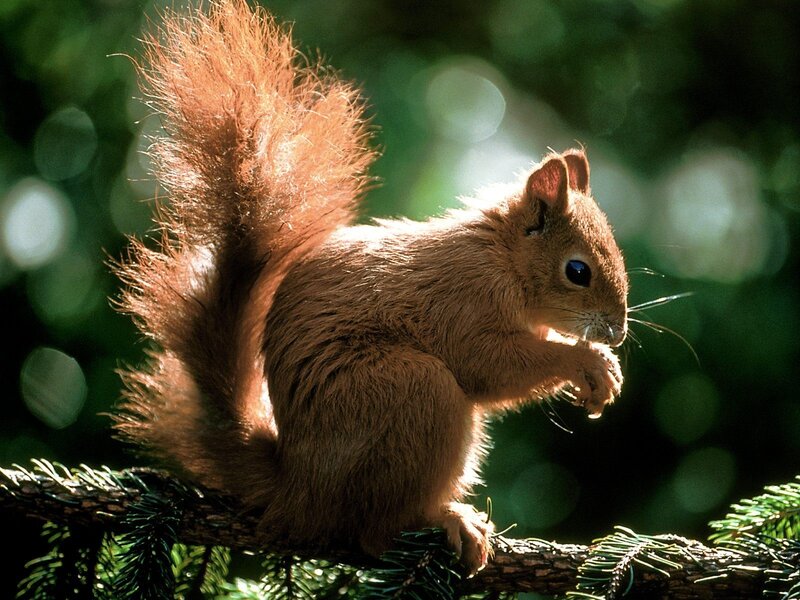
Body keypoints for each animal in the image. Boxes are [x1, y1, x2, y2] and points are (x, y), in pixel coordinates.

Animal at [114, 0, 628, 575]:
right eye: (577, 271)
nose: (618, 331)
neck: (502, 259)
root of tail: (300, 488)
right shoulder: (463, 303)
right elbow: (490, 365)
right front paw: (586, 361)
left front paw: (603, 372)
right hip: (408, 392)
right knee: (373, 532)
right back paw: (448, 519)